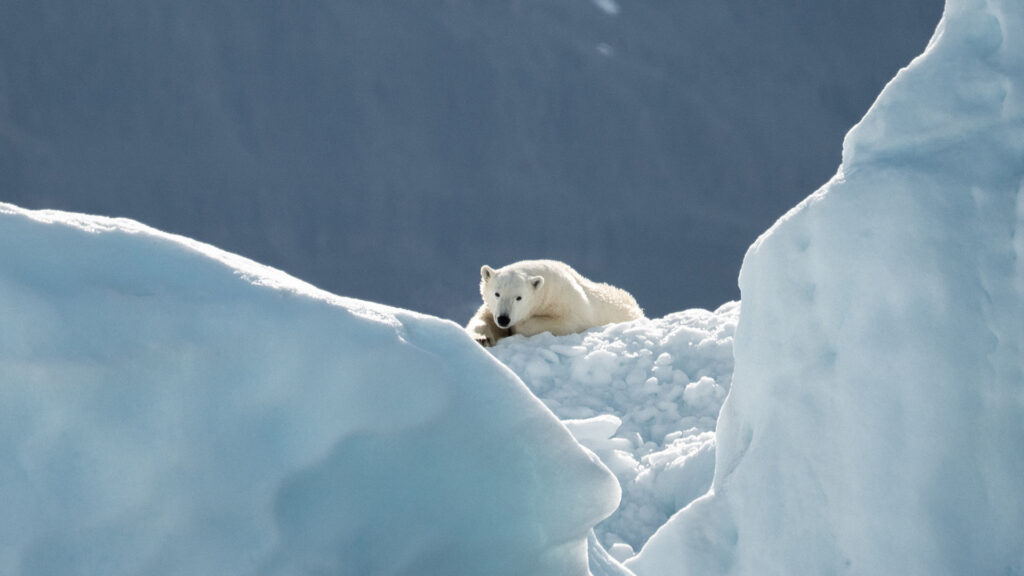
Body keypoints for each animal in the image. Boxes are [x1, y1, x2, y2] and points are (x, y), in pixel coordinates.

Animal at [468, 259, 643, 344]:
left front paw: (517, 327)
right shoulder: (492, 308)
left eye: (519, 297)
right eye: (497, 294)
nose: (504, 319)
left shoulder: (567, 301)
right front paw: (481, 338)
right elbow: (482, 319)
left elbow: (567, 323)